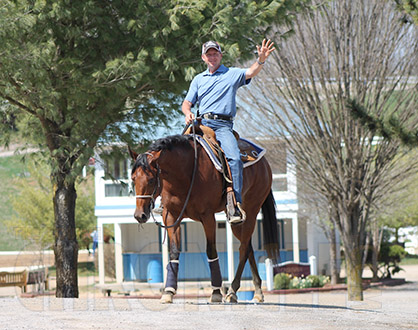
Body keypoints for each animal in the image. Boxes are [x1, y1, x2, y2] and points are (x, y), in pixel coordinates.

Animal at [129, 133, 280, 302]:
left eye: (150, 180)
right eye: (133, 178)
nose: (140, 215)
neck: (186, 174)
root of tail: (264, 163)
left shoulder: (208, 217)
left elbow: (211, 250)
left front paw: (215, 292)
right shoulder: (171, 216)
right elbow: (174, 251)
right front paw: (168, 291)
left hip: (251, 213)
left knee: (243, 249)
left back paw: (232, 291)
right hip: (237, 223)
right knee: (248, 247)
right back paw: (257, 291)